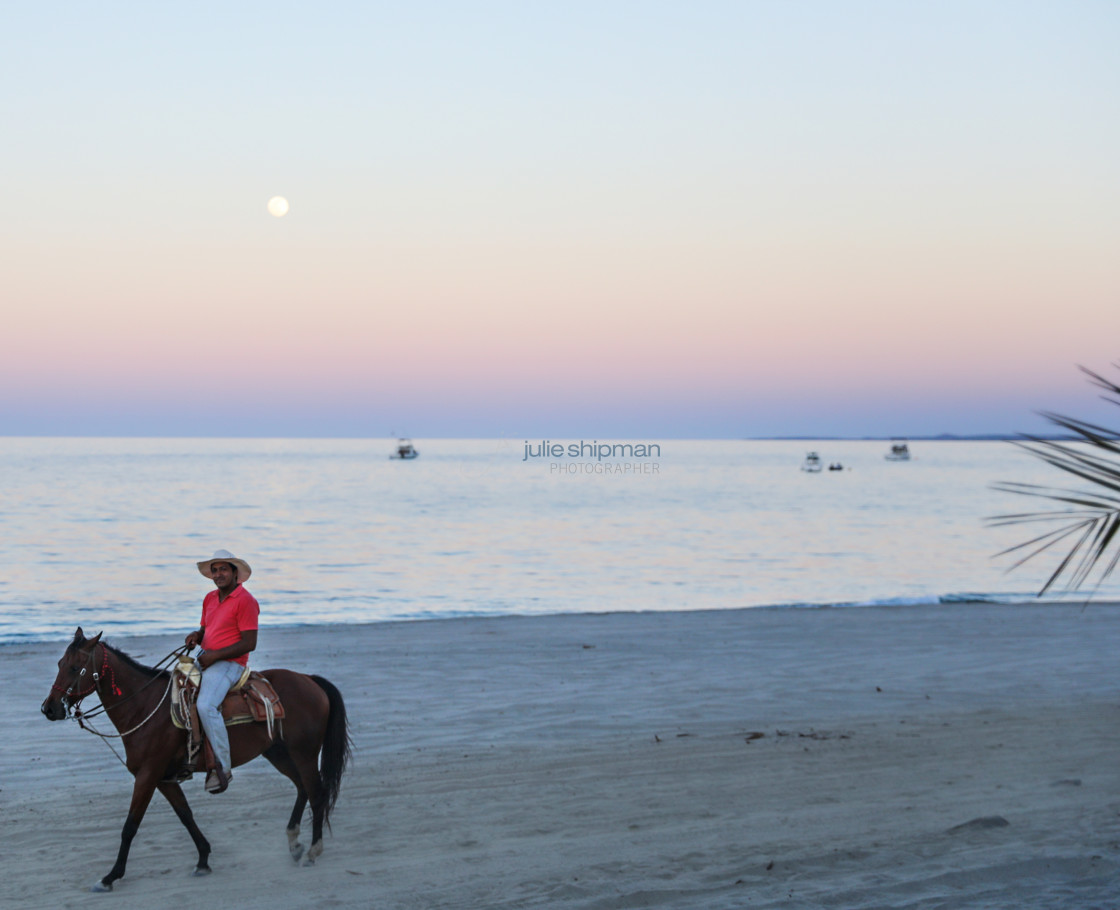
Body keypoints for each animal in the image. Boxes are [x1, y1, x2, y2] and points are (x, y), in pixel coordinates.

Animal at [41, 627, 349, 892]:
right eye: (59, 663)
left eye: (75, 668)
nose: (49, 708)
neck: (145, 707)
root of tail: (310, 680)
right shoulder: (163, 778)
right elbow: (185, 815)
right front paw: (203, 860)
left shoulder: (148, 775)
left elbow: (130, 826)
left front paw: (110, 877)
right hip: (278, 753)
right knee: (302, 788)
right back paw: (295, 843)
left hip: (304, 754)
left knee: (317, 793)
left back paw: (312, 851)